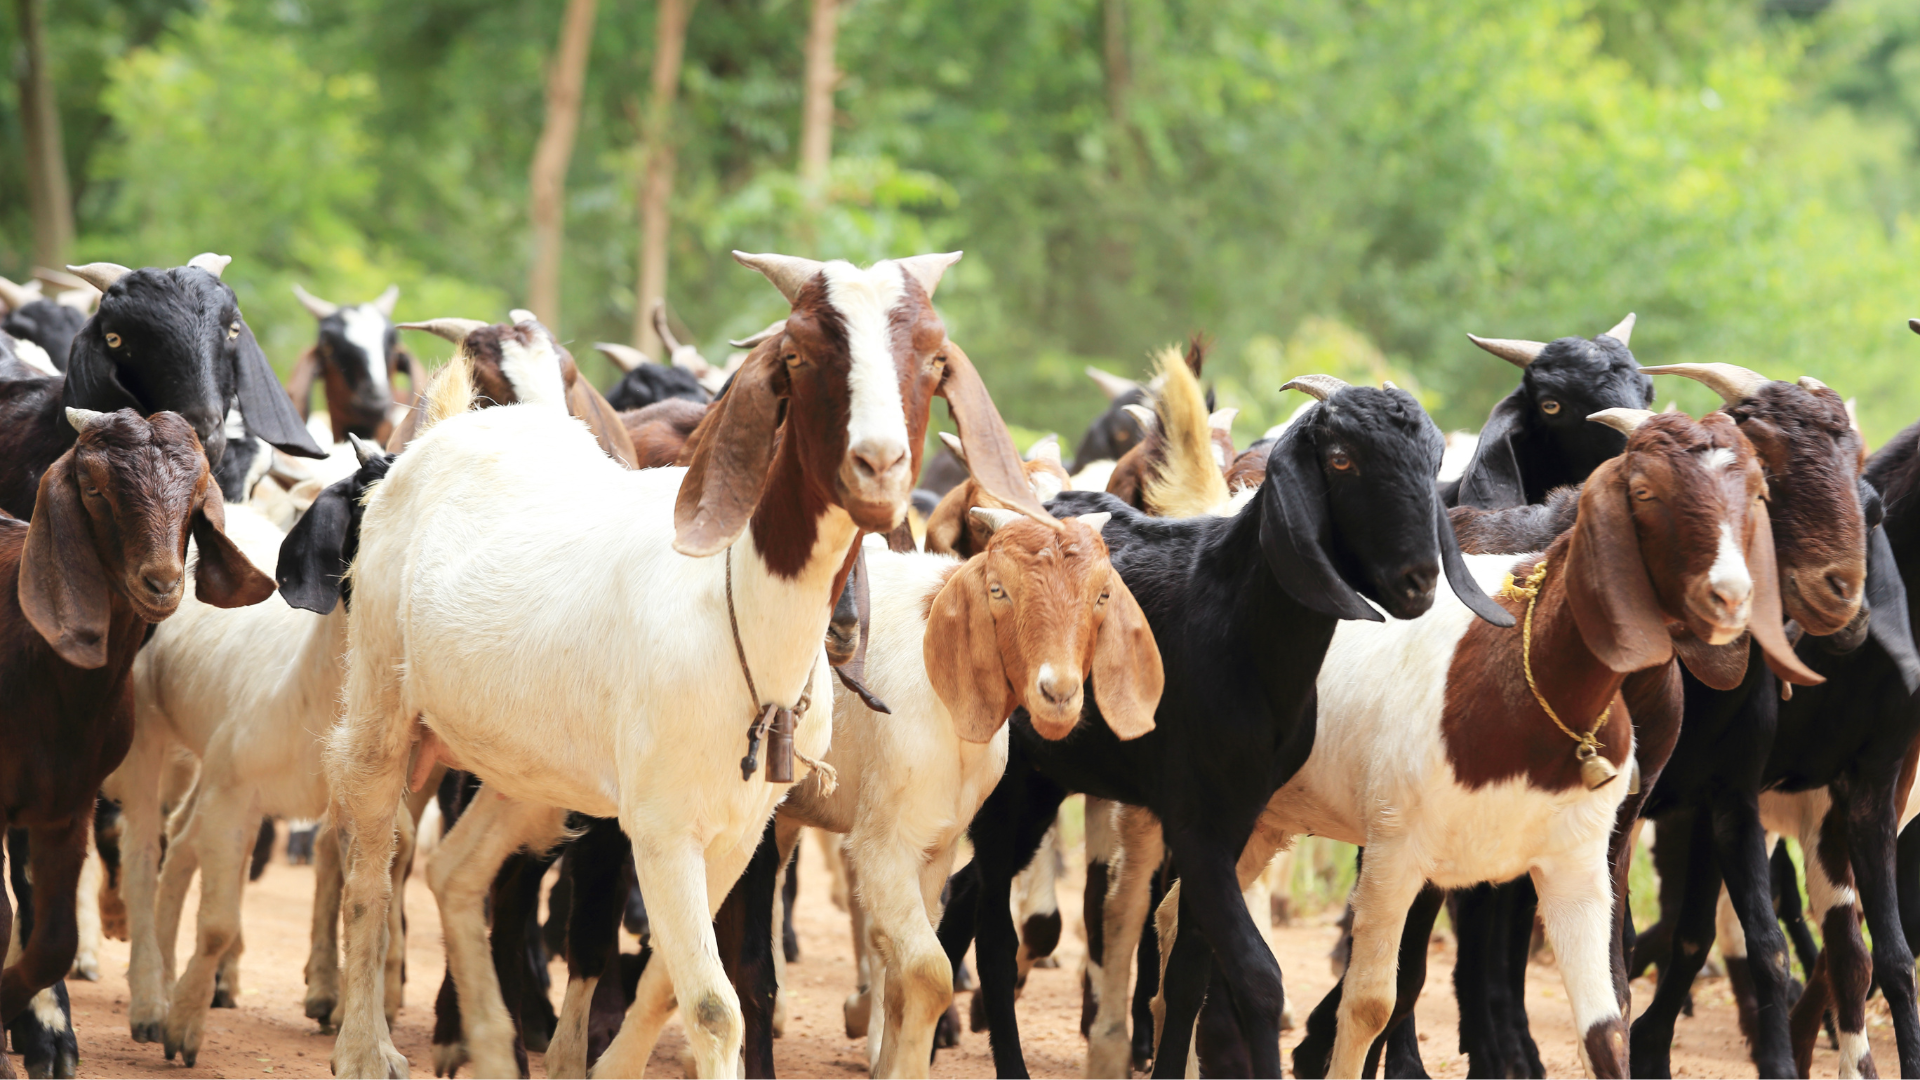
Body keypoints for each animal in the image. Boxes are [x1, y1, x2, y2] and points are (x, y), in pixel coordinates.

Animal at [323, 251, 1048, 1079]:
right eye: (798, 353)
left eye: (932, 358)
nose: (880, 466)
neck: (740, 616)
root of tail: (444, 431)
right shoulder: (663, 828)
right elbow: (710, 1002)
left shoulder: (740, 831)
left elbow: (673, 982)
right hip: (381, 704)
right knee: (371, 870)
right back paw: (366, 1046)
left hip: (528, 769)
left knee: (457, 872)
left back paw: (494, 1047)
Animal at [938, 374, 1513, 1078]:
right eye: (1341, 459)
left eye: (1434, 462)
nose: (1418, 581)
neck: (1237, 624)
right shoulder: (1195, 818)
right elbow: (1256, 974)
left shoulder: (1240, 813)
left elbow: (1190, 969)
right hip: (1009, 783)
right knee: (994, 932)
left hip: (1047, 780)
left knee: (967, 895)